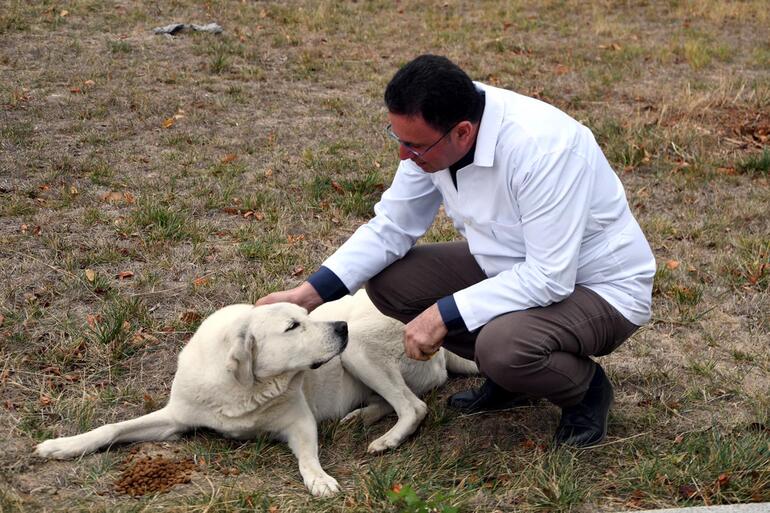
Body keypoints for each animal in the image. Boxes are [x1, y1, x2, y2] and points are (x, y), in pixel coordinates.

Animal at [39, 292, 476, 496]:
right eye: (293, 326)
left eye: (306, 318)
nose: (340, 327)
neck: (243, 389)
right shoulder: (174, 418)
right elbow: (112, 428)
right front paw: (63, 445)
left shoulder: (300, 423)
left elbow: (308, 459)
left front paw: (319, 480)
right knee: (396, 401)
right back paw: (363, 416)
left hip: (360, 349)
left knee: (413, 406)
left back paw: (385, 438)